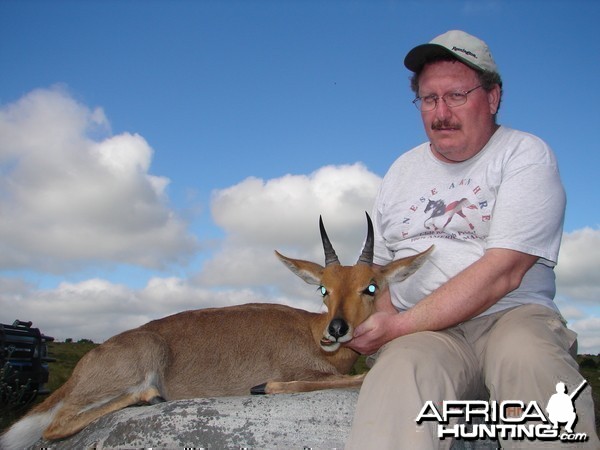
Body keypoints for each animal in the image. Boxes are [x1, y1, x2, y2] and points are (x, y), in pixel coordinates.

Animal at [0, 214, 432, 446]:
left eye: (371, 286)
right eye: (323, 288)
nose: (337, 329)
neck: (311, 332)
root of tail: (79, 370)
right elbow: (359, 377)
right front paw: (263, 387)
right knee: (53, 426)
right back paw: (148, 397)